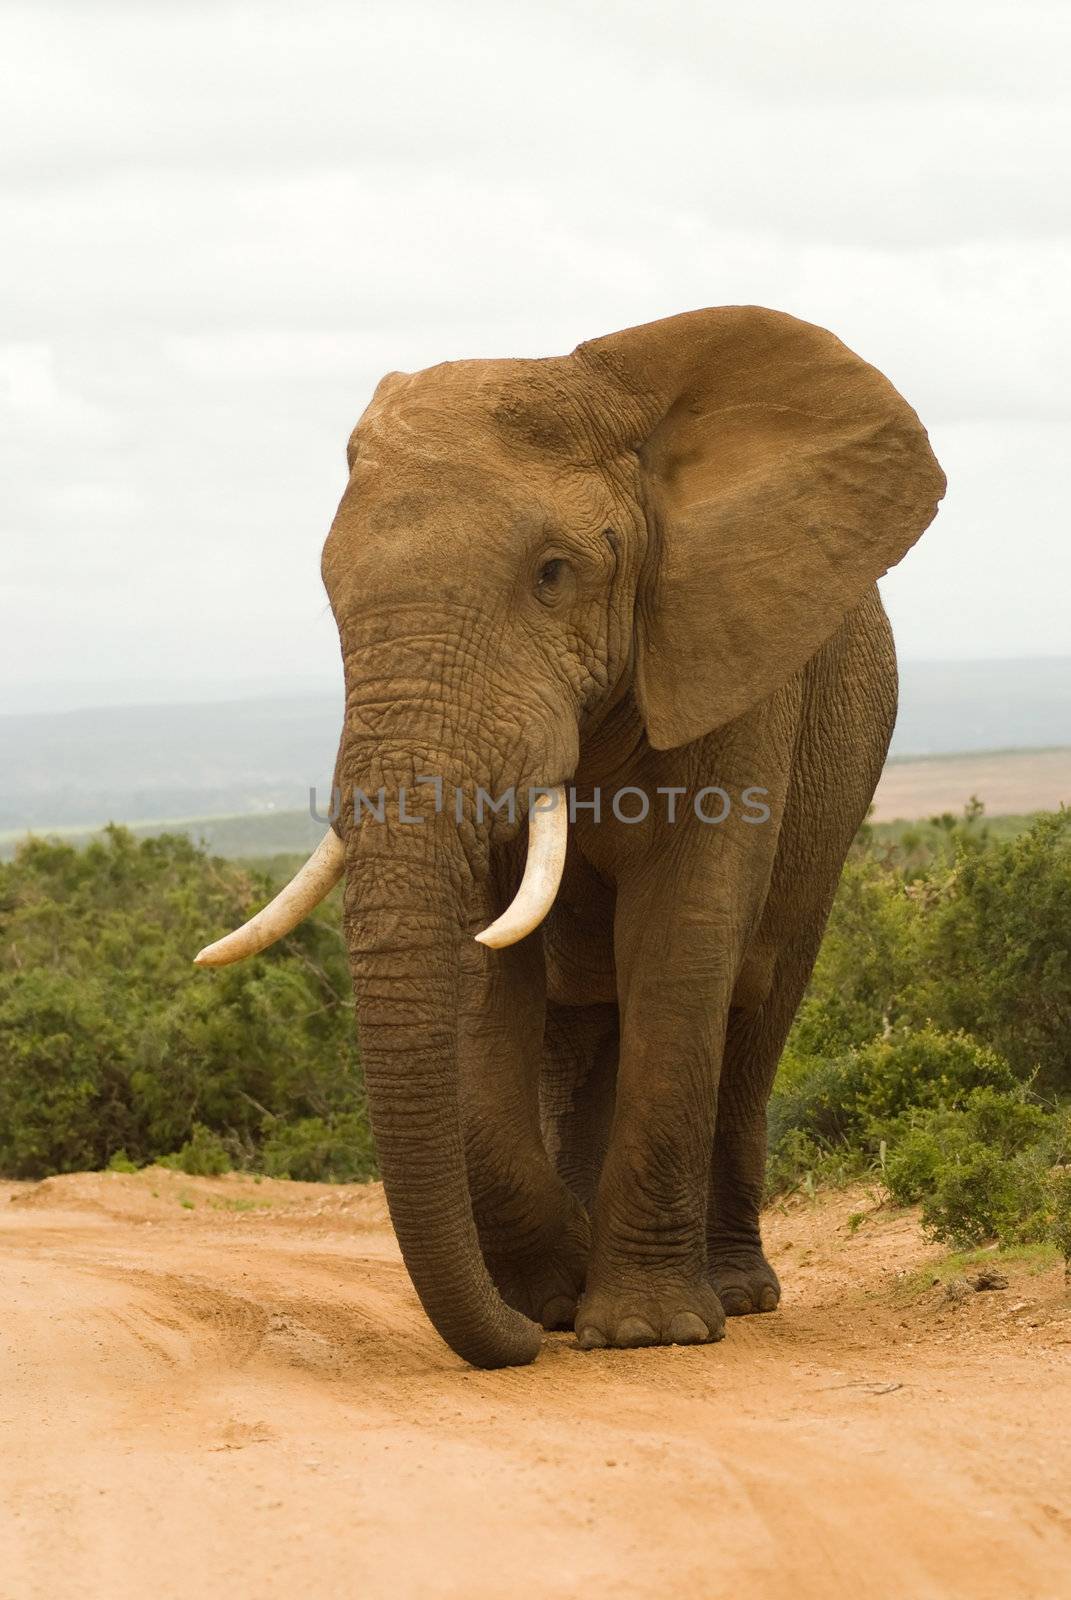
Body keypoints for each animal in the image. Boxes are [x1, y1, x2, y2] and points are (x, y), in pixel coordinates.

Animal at [194, 305, 941, 1369]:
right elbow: (485, 962)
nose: (511, 1338)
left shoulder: (727, 661)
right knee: (574, 1026)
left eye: (554, 575)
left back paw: (736, 1293)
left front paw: (643, 1331)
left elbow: (683, 935)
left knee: (756, 1006)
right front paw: (551, 1299)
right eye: (332, 592)